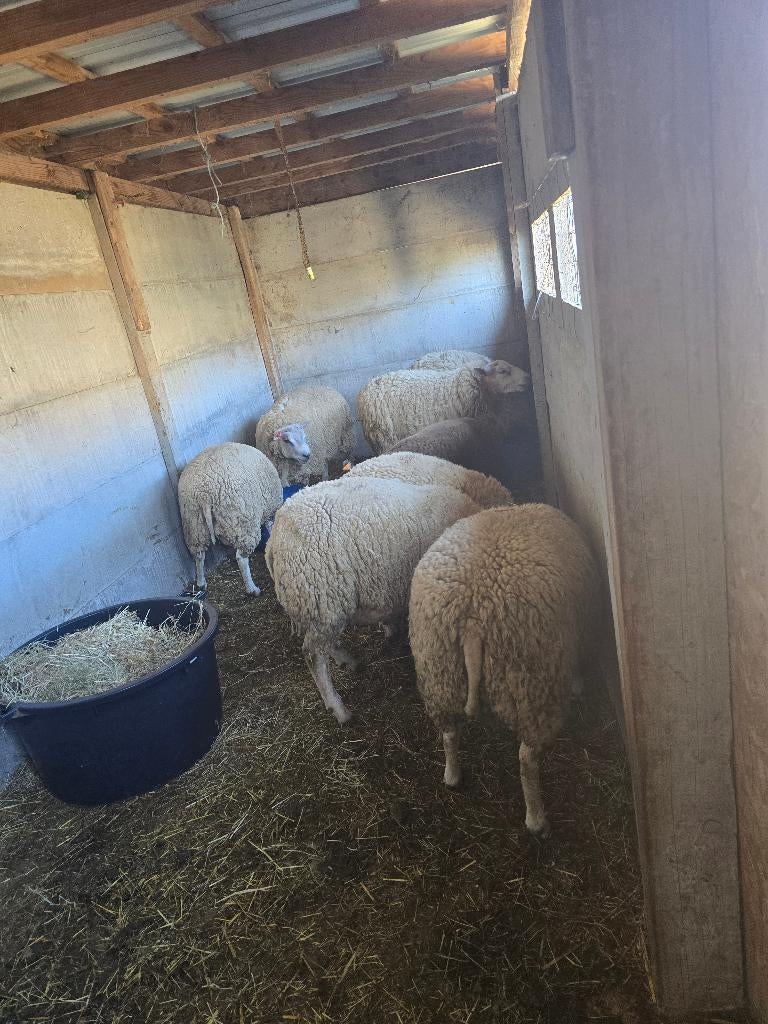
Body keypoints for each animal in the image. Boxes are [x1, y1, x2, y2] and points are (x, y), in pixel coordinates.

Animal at [178, 442, 282, 596]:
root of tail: (204, 493)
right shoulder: (271, 508)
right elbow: (270, 526)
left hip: (194, 522)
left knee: (198, 554)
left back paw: (201, 583)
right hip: (242, 521)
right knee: (241, 558)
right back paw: (252, 589)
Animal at [265, 476, 481, 725]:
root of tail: (274, 540)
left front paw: (391, 632)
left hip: (321, 606)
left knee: (323, 644)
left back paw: (348, 661)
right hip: (324, 598)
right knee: (313, 655)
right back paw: (339, 709)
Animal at [409, 503, 598, 836]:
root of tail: (472, 621)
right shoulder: (582, 631)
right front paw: (578, 687)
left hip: (438, 676)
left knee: (449, 734)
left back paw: (453, 777)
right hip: (532, 684)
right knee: (526, 758)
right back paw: (536, 820)